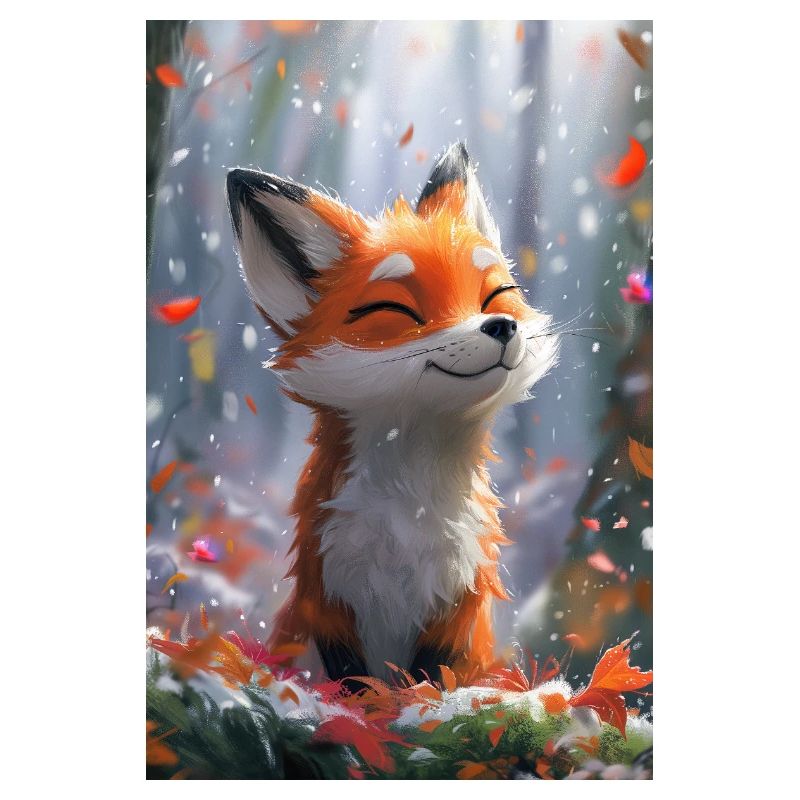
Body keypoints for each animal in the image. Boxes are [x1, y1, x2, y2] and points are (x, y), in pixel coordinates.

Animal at [225, 142, 558, 684]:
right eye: (397, 310)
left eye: (495, 296)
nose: (501, 326)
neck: (410, 508)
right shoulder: (325, 592)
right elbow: (352, 682)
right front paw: (361, 706)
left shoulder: (460, 600)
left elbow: (430, 679)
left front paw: (416, 704)